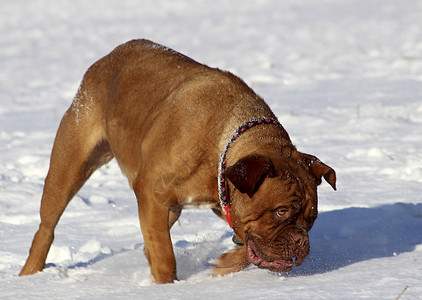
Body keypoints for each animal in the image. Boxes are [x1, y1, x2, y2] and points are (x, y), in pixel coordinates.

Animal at [19, 39, 336, 284]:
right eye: (281, 212)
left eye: (311, 219)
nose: (301, 240)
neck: (224, 145)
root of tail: (108, 57)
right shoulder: (152, 195)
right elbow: (164, 255)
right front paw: (168, 286)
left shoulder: (220, 200)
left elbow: (243, 241)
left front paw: (226, 264)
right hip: (70, 164)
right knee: (47, 226)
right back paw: (30, 274)